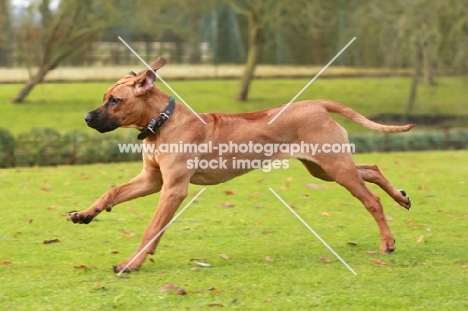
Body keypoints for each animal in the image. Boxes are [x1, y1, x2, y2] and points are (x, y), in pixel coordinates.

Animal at [69, 56, 414, 272]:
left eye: (114, 100)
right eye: (105, 97)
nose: (86, 117)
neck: (162, 122)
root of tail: (316, 104)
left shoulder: (173, 188)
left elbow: (152, 228)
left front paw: (131, 262)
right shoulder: (152, 180)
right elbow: (112, 192)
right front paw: (86, 214)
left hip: (334, 167)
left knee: (371, 200)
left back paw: (387, 243)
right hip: (324, 168)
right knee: (371, 169)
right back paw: (401, 197)